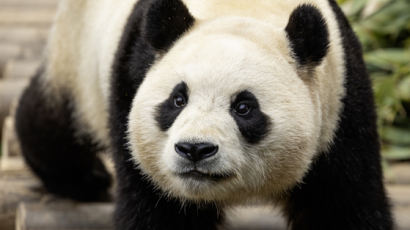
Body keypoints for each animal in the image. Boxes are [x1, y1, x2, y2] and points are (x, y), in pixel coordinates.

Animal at [15, 0, 394, 228]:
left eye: (244, 107)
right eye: (177, 99)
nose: (195, 149)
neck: (243, 12)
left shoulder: (340, 105)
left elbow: (343, 204)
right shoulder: (132, 77)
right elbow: (158, 208)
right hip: (78, 58)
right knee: (51, 120)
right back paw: (84, 179)